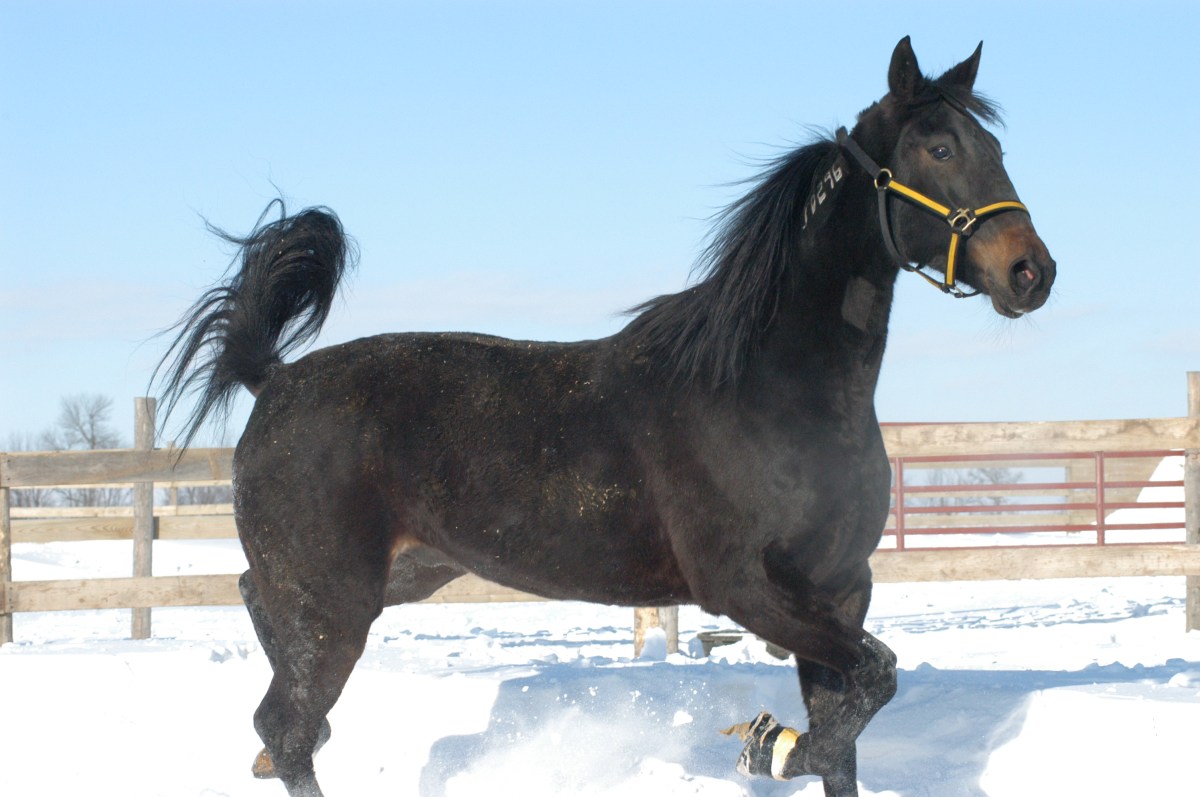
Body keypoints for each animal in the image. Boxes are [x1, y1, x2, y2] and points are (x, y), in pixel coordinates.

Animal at [154, 36, 1054, 797]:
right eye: (938, 149)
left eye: (997, 150)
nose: (1031, 272)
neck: (773, 388)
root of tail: (274, 380)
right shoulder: (745, 586)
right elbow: (871, 683)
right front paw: (768, 745)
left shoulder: (841, 589)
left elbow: (852, 722)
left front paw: (783, 743)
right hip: (333, 603)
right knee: (287, 723)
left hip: (390, 578)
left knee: (268, 650)